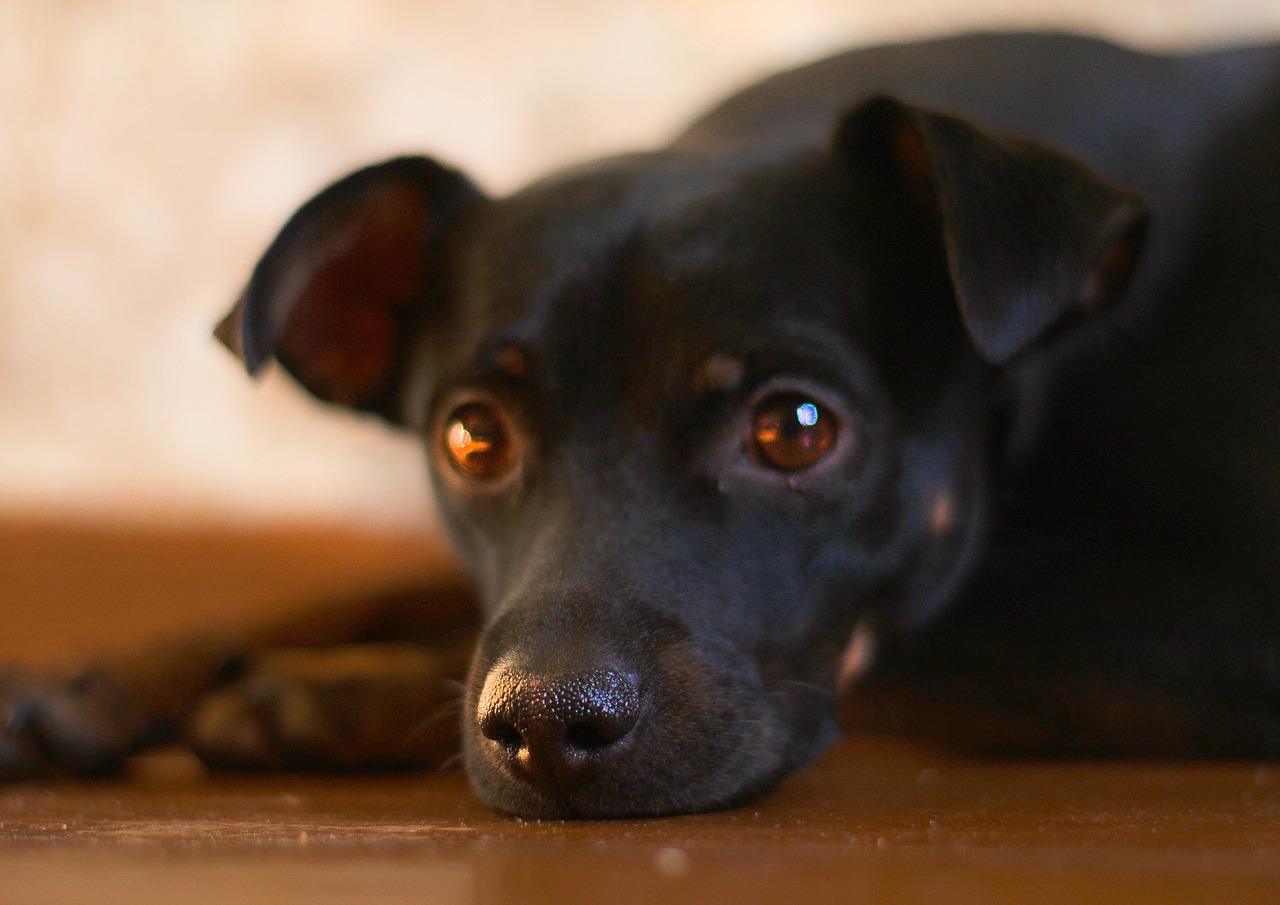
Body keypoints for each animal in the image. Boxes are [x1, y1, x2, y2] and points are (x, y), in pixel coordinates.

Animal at [2, 31, 1280, 819]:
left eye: (796, 427)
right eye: (469, 438)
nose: (544, 726)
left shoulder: (1213, 620)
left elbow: (892, 646)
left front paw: (323, 692)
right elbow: (366, 589)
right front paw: (87, 678)